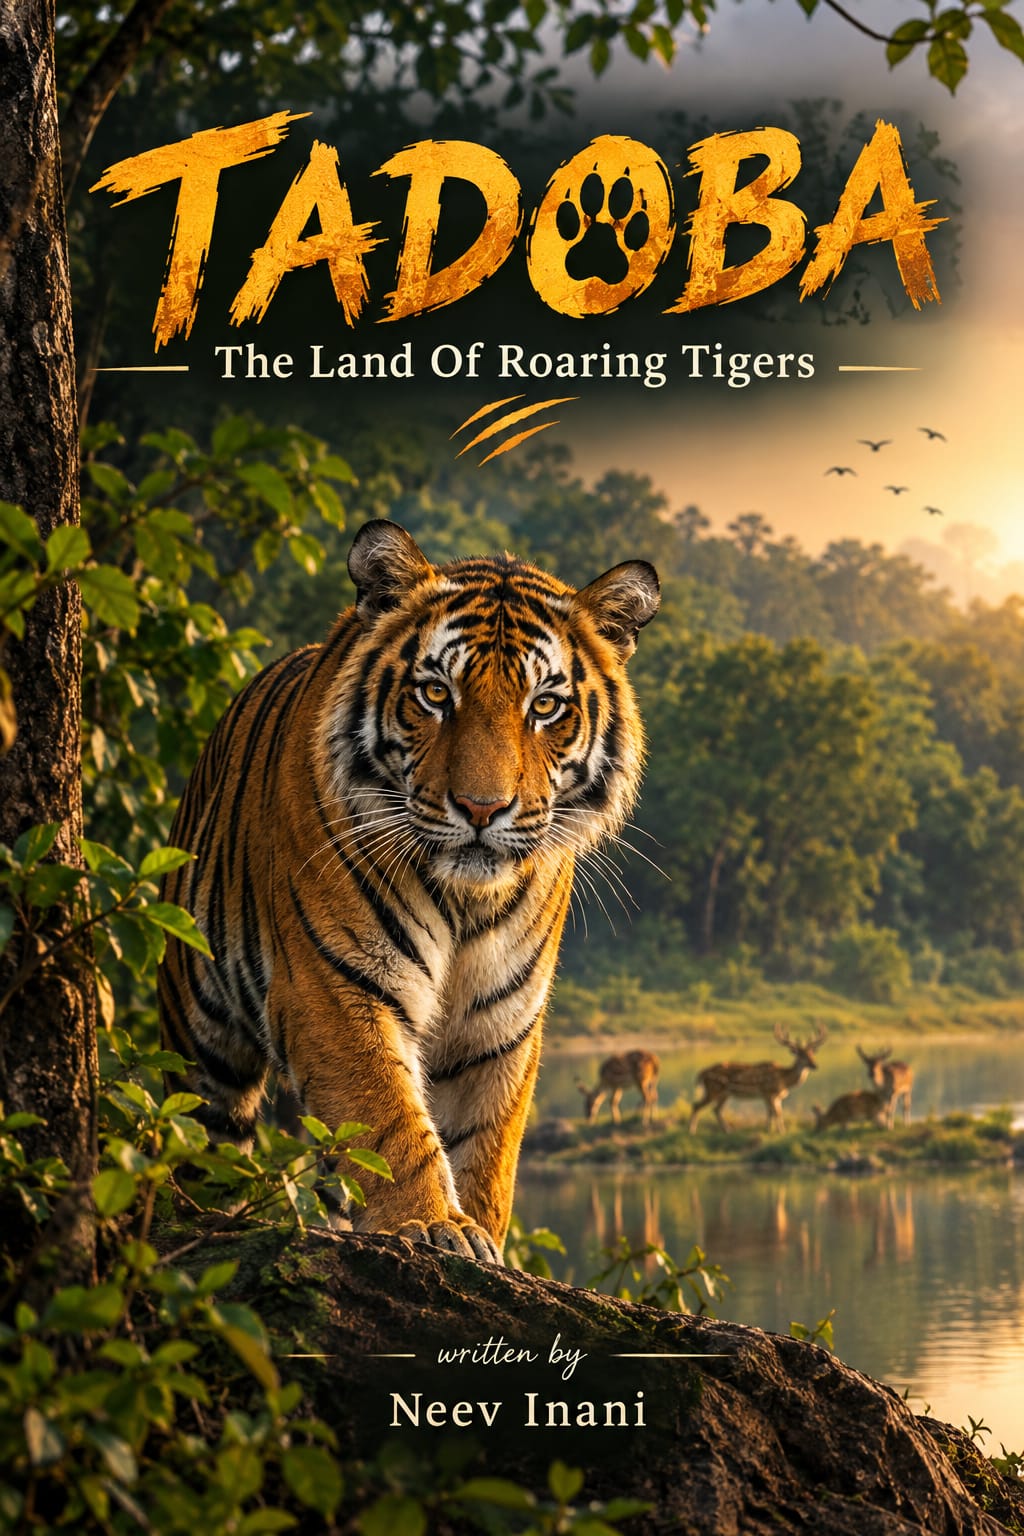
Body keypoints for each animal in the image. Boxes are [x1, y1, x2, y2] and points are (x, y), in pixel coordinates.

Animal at [158, 519, 659, 1264]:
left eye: (544, 706)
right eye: (437, 695)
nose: (483, 808)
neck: (468, 901)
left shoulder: (500, 1025)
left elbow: (486, 1150)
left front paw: (481, 1237)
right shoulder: (335, 985)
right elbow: (386, 1119)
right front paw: (428, 1226)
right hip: (199, 1027)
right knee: (204, 1137)